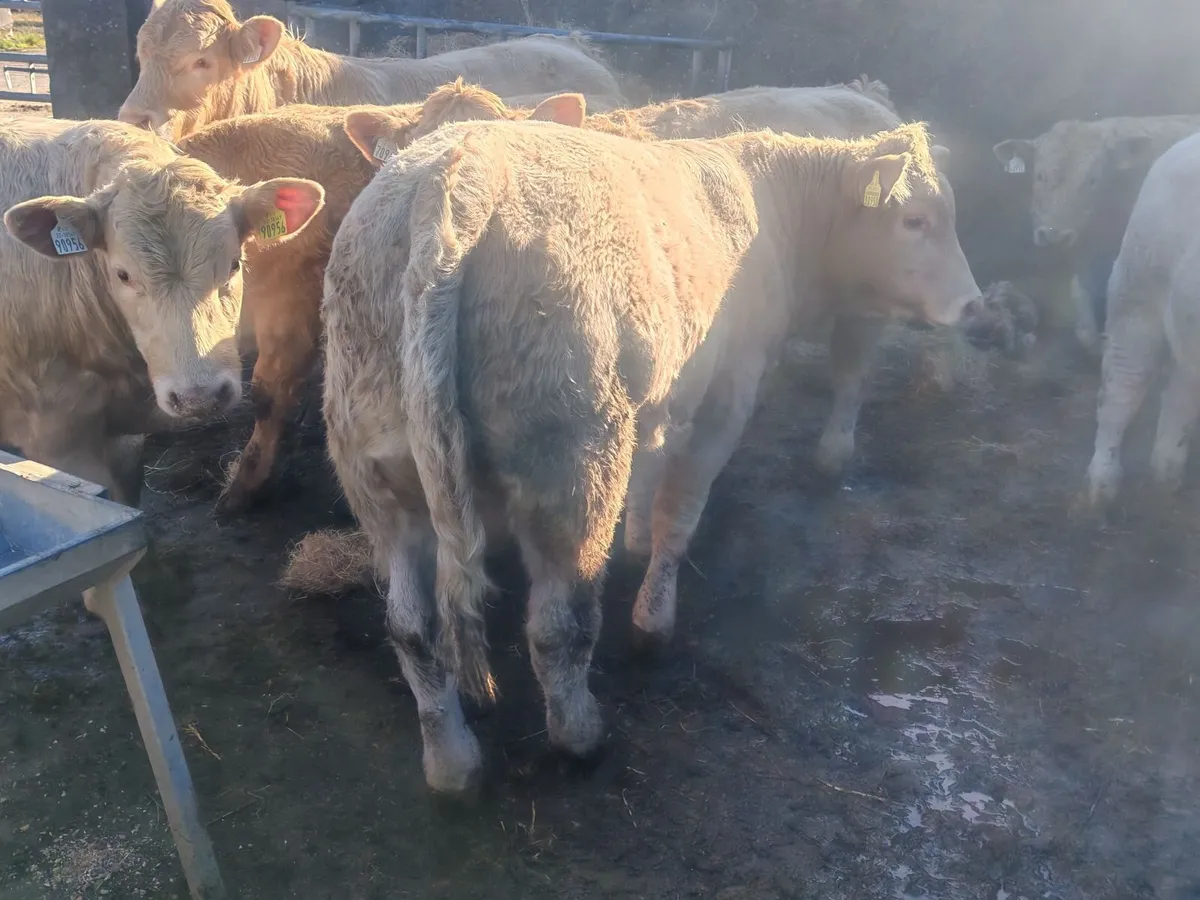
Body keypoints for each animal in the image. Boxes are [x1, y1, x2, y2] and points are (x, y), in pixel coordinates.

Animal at [320, 118, 981, 793]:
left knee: (413, 627)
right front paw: (654, 617)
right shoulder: (727, 391)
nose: (973, 303)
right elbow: (680, 510)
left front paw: (636, 537)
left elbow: (653, 473)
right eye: (916, 220)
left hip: (379, 474)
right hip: (573, 463)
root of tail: (461, 166)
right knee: (558, 624)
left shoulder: (665, 395)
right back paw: (580, 734)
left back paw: (452, 762)